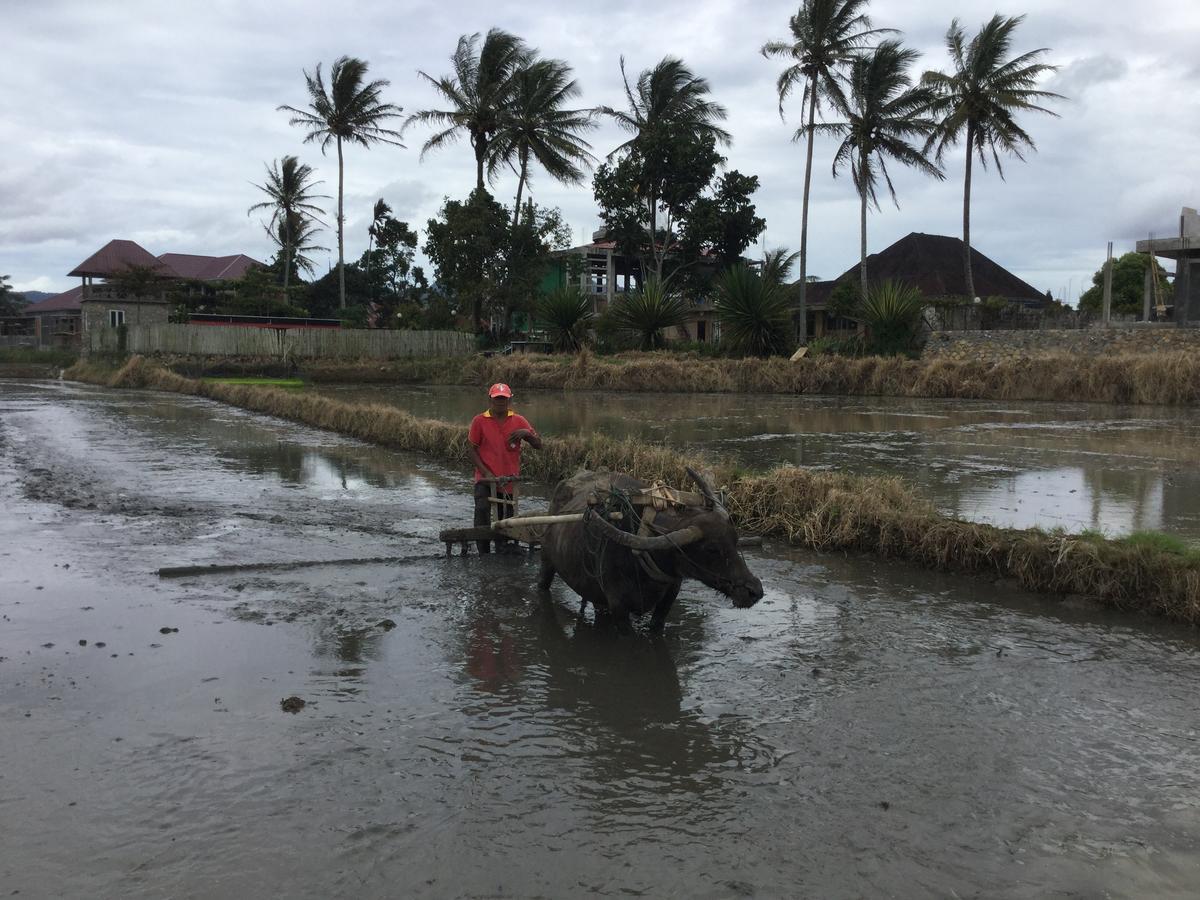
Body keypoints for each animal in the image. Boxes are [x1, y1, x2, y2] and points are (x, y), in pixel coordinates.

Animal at [540, 468, 763, 628]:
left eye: (735, 540)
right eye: (711, 549)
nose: (754, 591)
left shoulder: (669, 597)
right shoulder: (618, 607)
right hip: (547, 562)